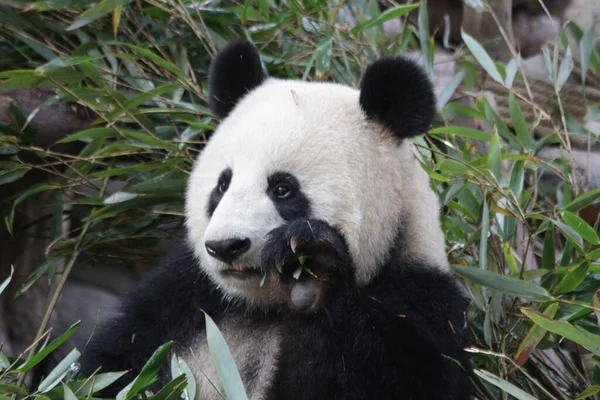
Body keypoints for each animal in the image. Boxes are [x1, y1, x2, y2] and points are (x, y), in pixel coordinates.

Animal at [81, 40, 474, 400]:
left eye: (282, 189)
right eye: (222, 184)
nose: (226, 246)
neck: (263, 308)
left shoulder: (423, 296)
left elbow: (405, 376)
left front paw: (313, 271)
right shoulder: (181, 297)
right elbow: (111, 367)